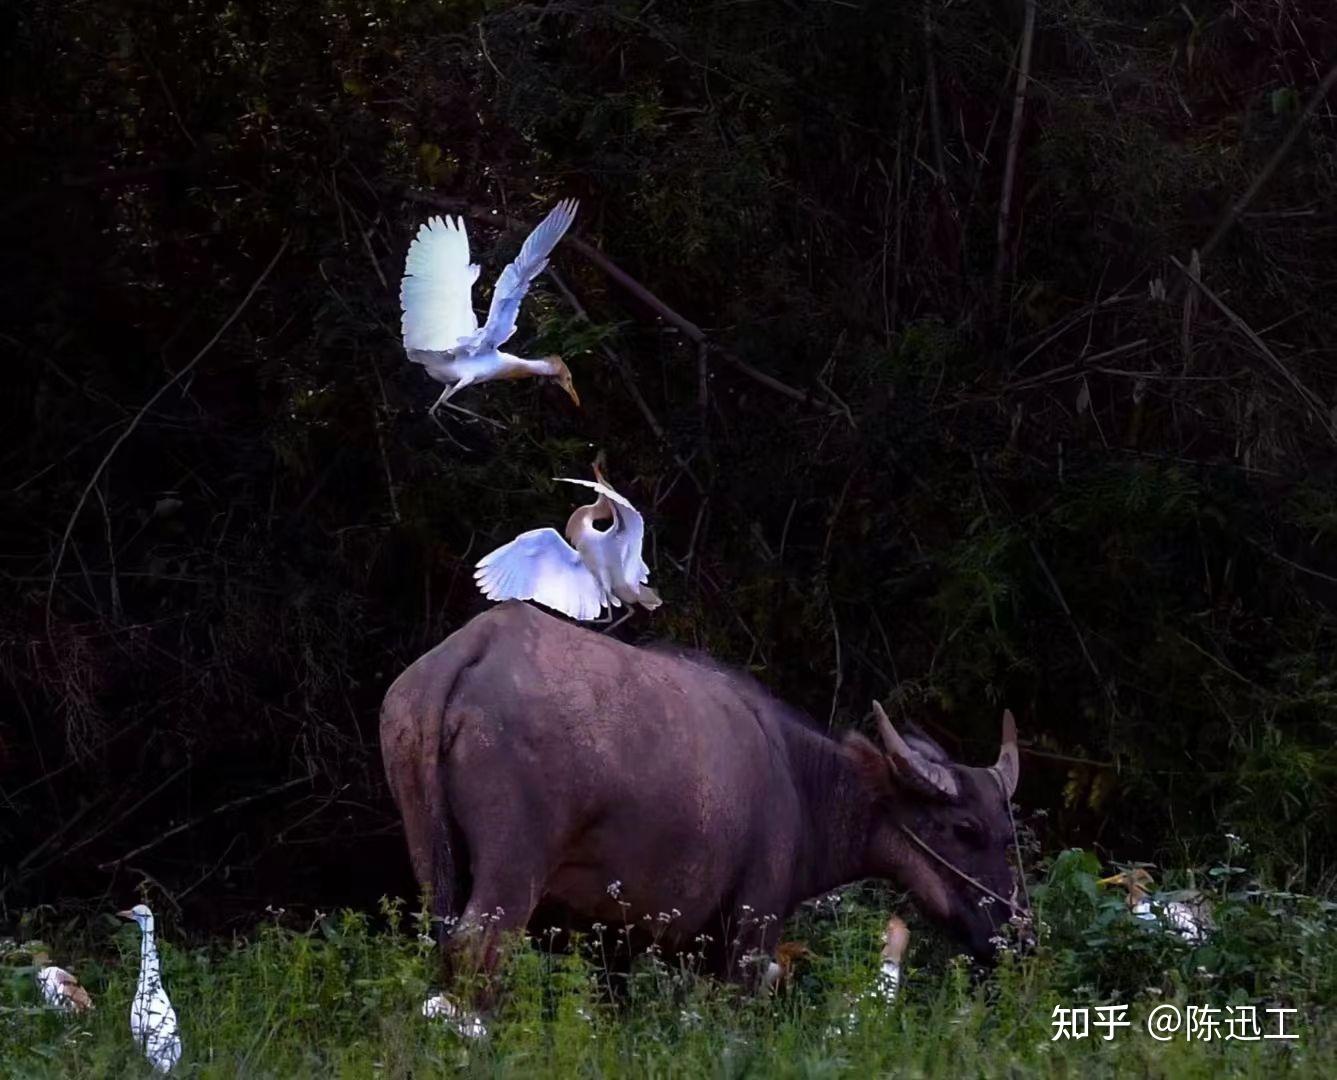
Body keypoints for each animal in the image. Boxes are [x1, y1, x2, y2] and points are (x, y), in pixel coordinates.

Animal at [382, 598, 1026, 994]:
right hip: (511, 873)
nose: (1018, 934)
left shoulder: (628, 941)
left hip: (431, 860)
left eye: (1007, 830)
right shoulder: (748, 929)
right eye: (966, 829)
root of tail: (475, 644)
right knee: (477, 955)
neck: (799, 780)